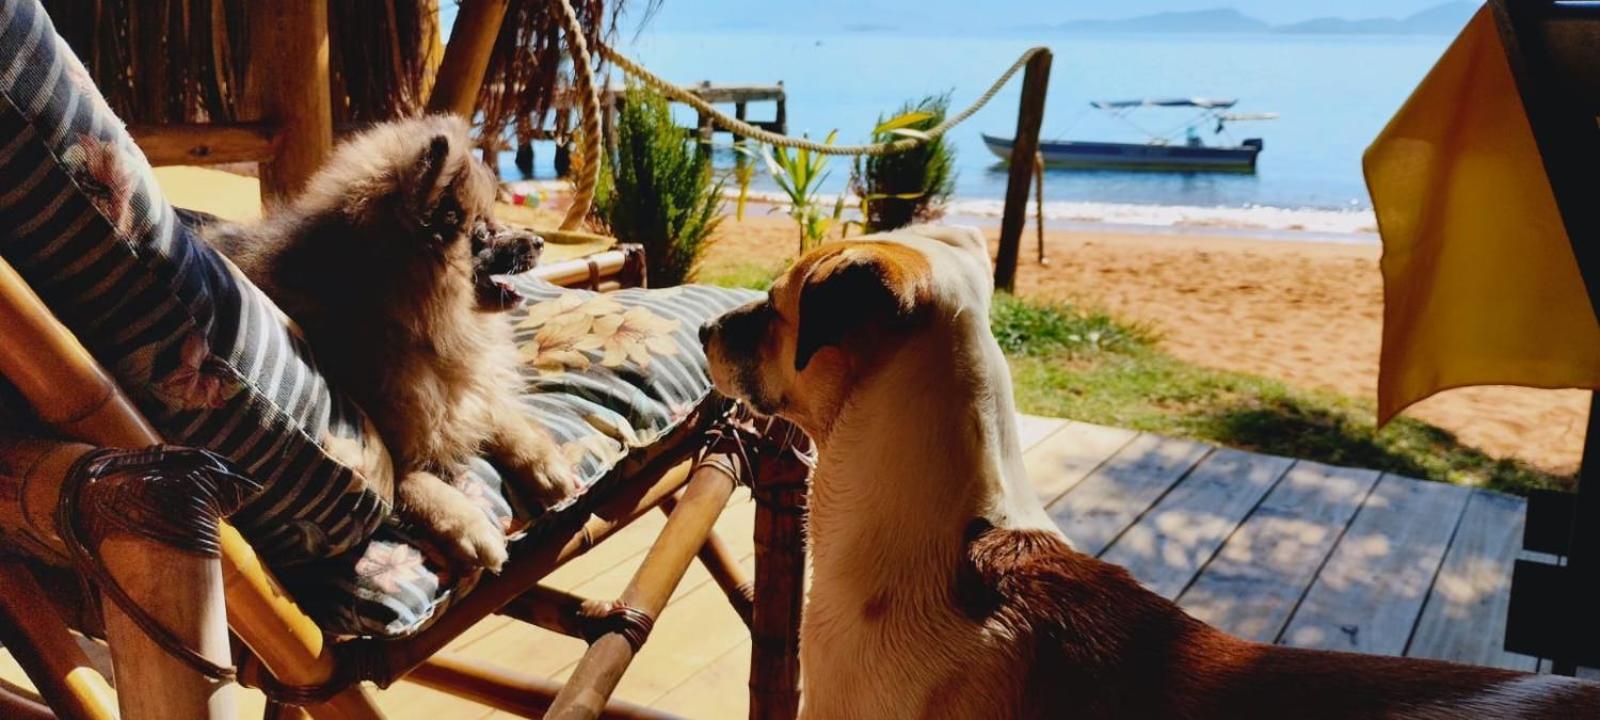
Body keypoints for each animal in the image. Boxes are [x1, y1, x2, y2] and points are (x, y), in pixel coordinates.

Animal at [200, 115, 576, 569]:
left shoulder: (461, 397)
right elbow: (414, 483)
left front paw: (544, 462)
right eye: (483, 234)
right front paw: (468, 525)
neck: (402, 323)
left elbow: (501, 417)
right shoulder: (402, 445)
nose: (539, 242)